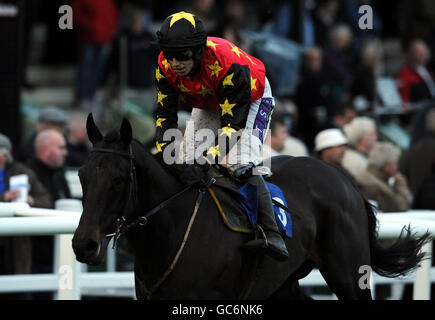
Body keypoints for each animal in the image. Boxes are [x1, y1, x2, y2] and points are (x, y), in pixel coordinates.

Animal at [73, 115, 430, 300]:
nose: (83, 244)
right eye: (81, 175)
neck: (171, 232)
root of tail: (348, 184)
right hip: (282, 286)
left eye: (118, 179)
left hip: (349, 275)